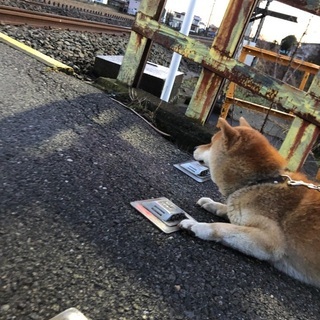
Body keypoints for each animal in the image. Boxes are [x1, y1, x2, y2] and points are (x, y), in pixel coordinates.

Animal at [180, 117, 320, 288]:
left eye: (211, 142)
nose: (195, 147)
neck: (260, 181)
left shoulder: (271, 241)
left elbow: (222, 227)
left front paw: (196, 226)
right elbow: (229, 209)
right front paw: (212, 204)